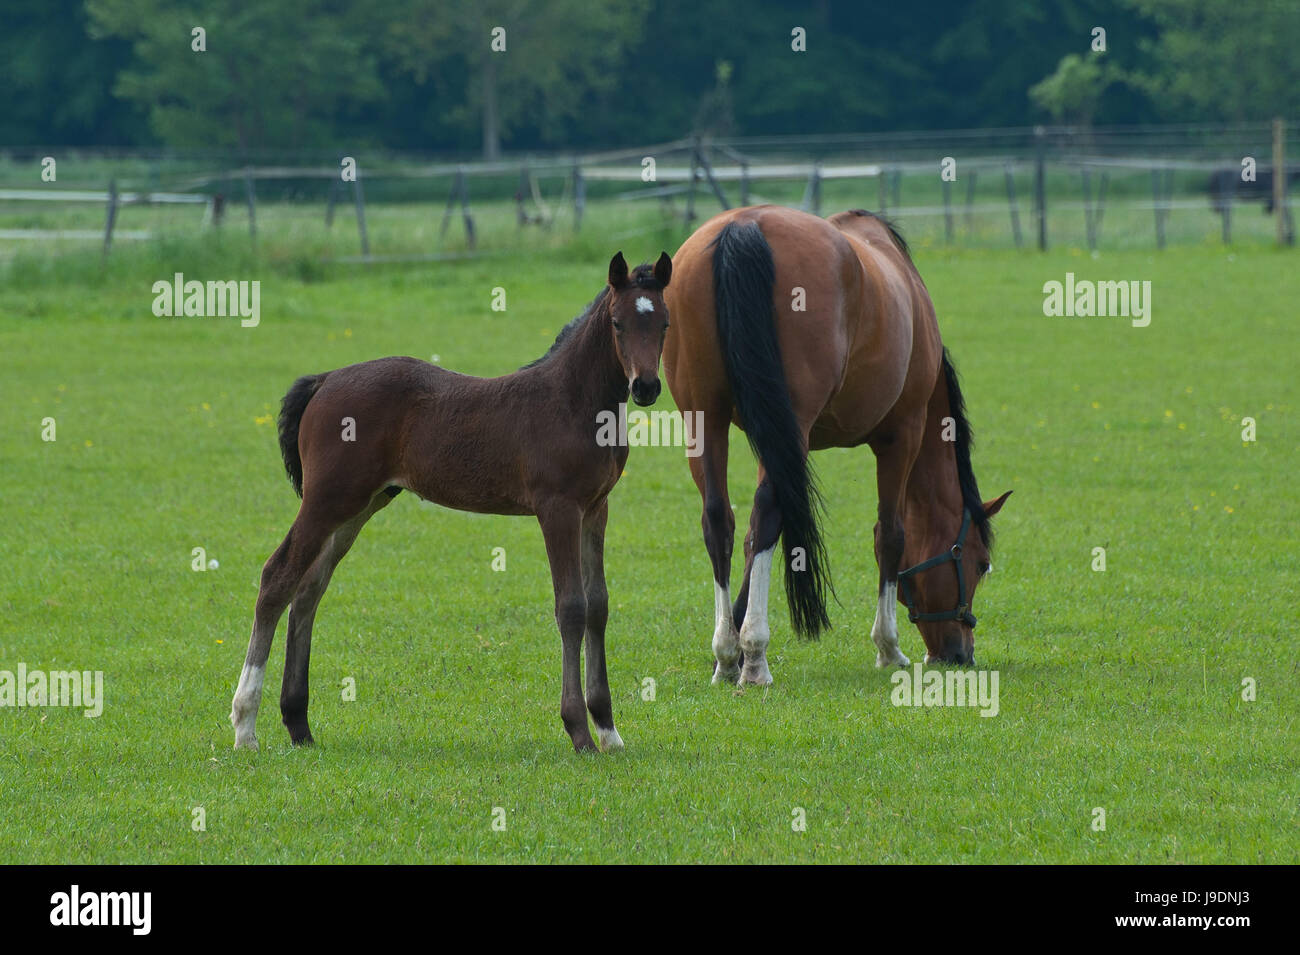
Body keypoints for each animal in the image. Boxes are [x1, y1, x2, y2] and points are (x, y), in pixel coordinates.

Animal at [230, 251, 673, 753]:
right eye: (617, 323)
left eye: (664, 323)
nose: (645, 387)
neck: (573, 401)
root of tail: (324, 381)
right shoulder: (557, 509)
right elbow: (571, 608)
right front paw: (579, 732)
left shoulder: (596, 507)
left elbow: (598, 605)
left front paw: (610, 731)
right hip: (327, 499)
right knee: (277, 577)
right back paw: (245, 727)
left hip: (359, 506)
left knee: (308, 589)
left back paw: (298, 723)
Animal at [662, 205, 1010, 685]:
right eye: (978, 563)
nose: (960, 654)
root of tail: (745, 226)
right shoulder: (902, 435)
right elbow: (890, 535)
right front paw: (888, 647)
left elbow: (751, 540)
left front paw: (725, 654)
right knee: (766, 515)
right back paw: (755, 656)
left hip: (705, 418)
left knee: (721, 520)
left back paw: (730, 652)